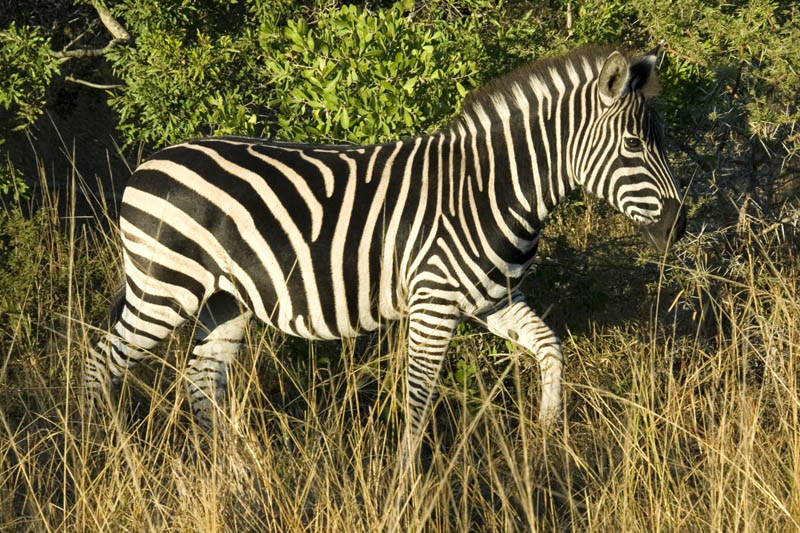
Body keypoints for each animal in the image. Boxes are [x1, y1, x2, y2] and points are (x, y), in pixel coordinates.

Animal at [85, 45, 686, 459]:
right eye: (634, 145)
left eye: (657, 141)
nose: (678, 227)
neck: (487, 189)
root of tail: (148, 163)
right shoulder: (434, 303)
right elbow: (418, 401)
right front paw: (404, 486)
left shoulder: (491, 300)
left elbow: (549, 347)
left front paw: (545, 439)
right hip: (164, 286)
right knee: (101, 361)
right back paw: (110, 456)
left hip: (223, 300)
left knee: (201, 380)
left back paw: (228, 474)